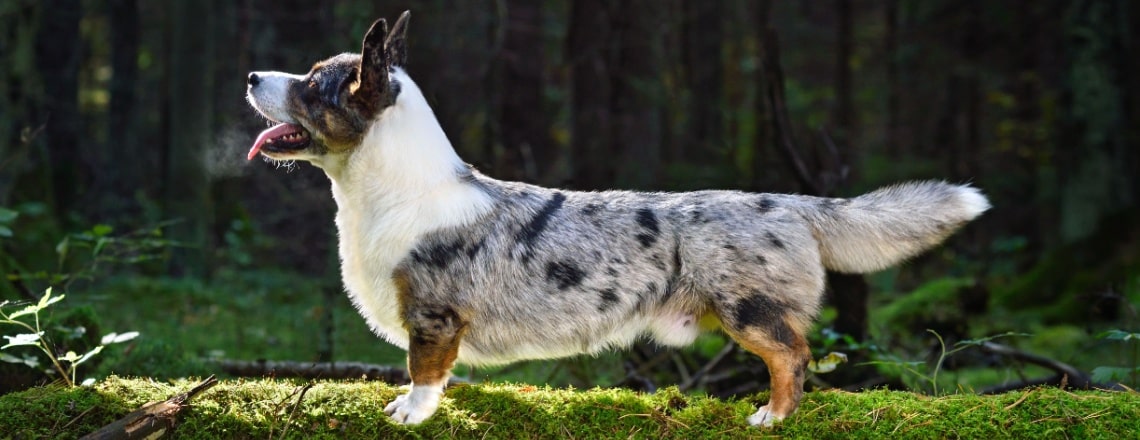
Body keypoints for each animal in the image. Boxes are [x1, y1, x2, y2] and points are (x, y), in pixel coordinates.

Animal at [247, 12, 989, 428]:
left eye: (313, 83)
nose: (253, 75)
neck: (388, 191)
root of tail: (793, 203)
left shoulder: (433, 317)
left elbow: (424, 372)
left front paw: (410, 414)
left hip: (747, 310)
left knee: (793, 356)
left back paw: (772, 416)